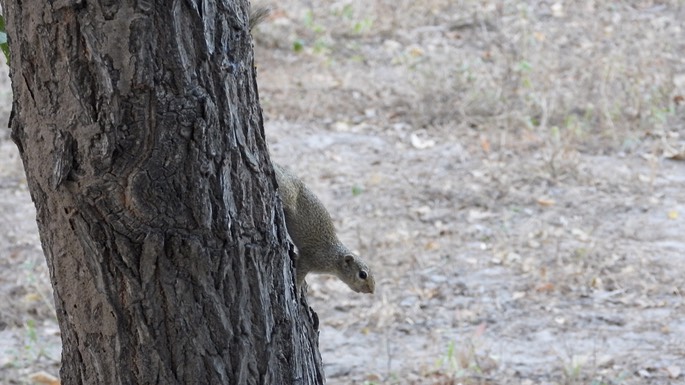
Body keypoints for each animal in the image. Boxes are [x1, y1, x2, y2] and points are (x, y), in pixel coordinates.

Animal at [272, 164, 374, 292]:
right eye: (362, 274)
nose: (372, 291)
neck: (335, 258)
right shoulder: (311, 259)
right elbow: (300, 272)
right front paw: (298, 287)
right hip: (287, 193)